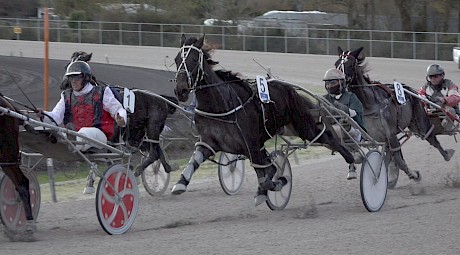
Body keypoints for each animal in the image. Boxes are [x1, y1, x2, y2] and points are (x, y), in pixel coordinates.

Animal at [172, 34, 356, 205]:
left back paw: (352, 163)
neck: (220, 105)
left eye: (193, 60)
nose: (181, 90)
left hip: (303, 125)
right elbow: (193, 161)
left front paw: (277, 183)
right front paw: (180, 184)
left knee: (327, 137)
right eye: (176, 60)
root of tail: (289, 87)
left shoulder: (251, 144)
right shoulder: (209, 143)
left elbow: (267, 176)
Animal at [336, 45, 454, 186]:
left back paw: (447, 154)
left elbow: (398, 158)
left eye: (349, 65)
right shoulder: (368, 135)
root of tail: (413, 92)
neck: (369, 104)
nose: (338, 83)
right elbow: (356, 151)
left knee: (431, 138)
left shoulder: (390, 134)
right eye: (336, 64)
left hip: (419, 123)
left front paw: (414, 175)